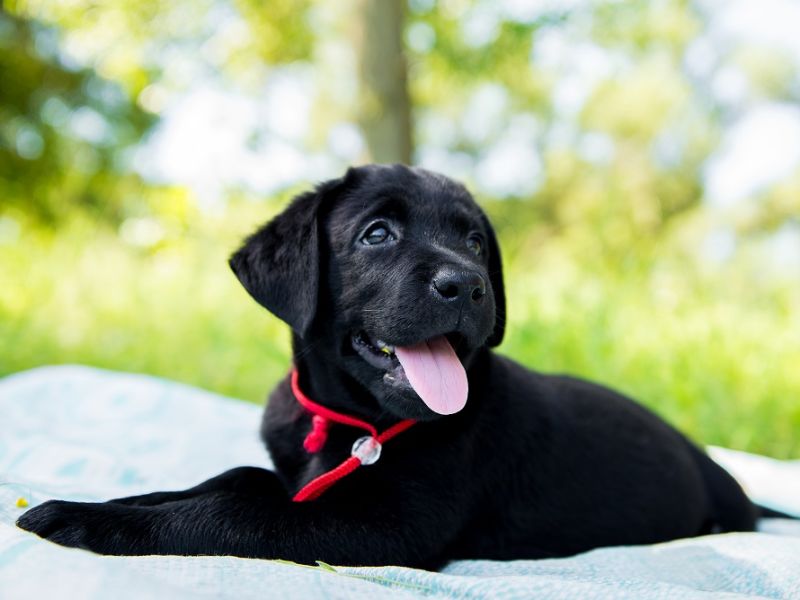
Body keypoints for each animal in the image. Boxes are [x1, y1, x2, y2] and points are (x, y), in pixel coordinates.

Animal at [17, 164, 764, 568]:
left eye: (474, 240)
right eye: (378, 234)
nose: (468, 285)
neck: (348, 420)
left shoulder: (386, 528)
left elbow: (238, 514)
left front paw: (89, 522)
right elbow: (235, 480)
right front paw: (115, 501)